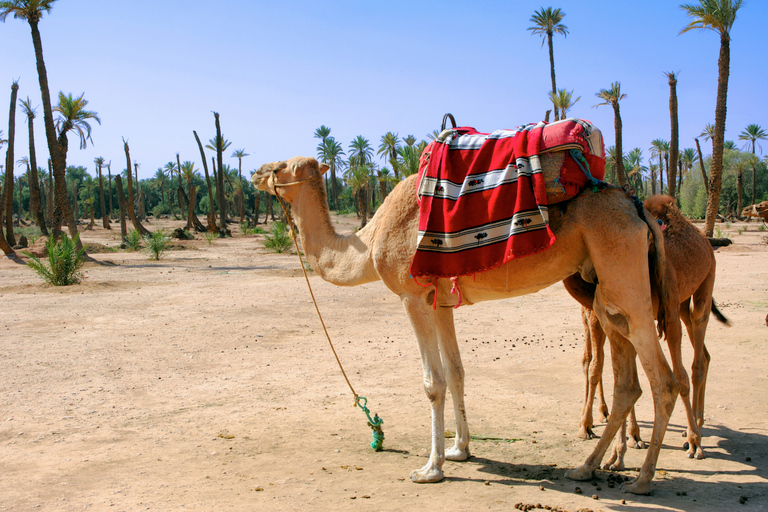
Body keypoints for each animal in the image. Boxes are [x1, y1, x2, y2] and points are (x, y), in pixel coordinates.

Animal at [254, 156, 680, 496]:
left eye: (280, 166)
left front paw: (431, 468)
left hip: (623, 270)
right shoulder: (441, 302)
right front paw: (460, 449)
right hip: (605, 289)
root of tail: (637, 207)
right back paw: (588, 466)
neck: (370, 240)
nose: (256, 172)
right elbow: (457, 372)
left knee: (664, 380)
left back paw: (641, 479)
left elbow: (433, 382)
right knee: (629, 382)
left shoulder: (412, 296)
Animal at [568, 193, 728, 464]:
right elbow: (610, 371)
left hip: (703, 285)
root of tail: (704, 240)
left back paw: (694, 432)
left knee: (697, 358)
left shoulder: (663, 312)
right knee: (703, 355)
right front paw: (619, 448)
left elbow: (677, 376)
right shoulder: (616, 318)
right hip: (680, 304)